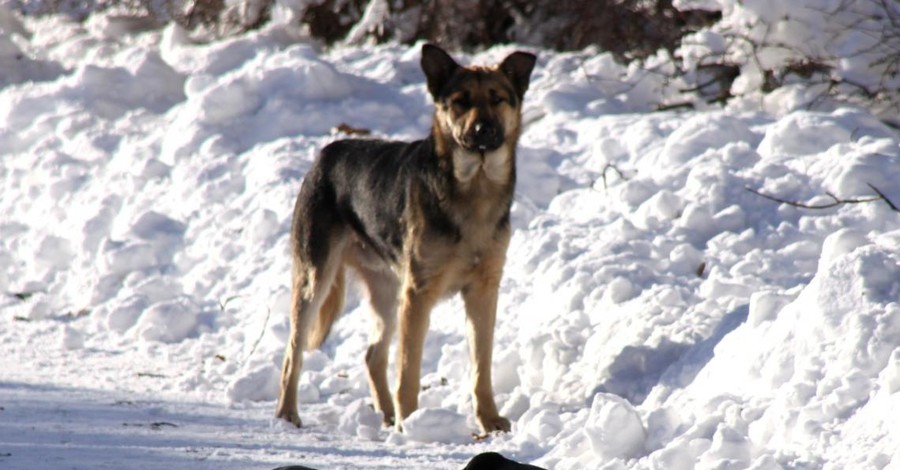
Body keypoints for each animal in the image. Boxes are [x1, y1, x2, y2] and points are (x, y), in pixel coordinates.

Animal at [276, 43, 536, 434]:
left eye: (498, 98)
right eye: (460, 101)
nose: (482, 130)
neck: (474, 187)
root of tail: (324, 154)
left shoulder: (483, 291)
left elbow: (481, 368)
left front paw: (489, 420)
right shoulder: (419, 293)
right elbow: (409, 372)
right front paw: (411, 422)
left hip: (386, 290)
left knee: (372, 355)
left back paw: (385, 416)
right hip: (316, 279)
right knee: (293, 352)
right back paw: (288, 414)